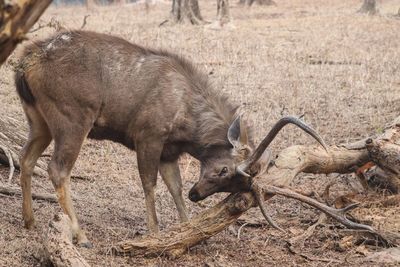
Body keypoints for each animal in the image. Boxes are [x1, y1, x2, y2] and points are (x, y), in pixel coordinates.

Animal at [16, 30, 328, 248]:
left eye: (234, 185)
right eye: (223, 170)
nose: (197, 194)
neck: (188, 129)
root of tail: (24, 64)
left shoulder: (169, 152)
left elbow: (174, 187)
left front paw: (188, 230)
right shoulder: (149, 135)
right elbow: (149, 183)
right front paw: (154, 232)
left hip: (38, 120)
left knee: (25, 158)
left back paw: (30, 221)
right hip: (72, 118)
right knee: (57, 169)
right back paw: (81, 236)